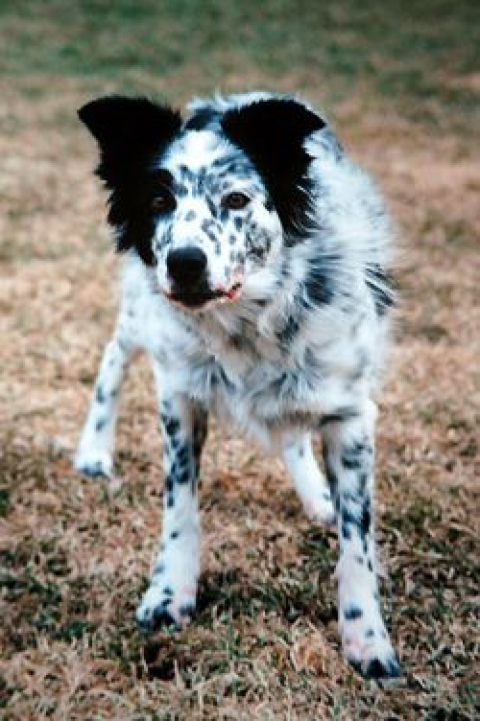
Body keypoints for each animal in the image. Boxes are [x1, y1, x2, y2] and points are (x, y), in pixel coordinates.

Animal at [75, 90, 400, 676]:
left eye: (236, 199)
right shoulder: (179, 396)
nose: (184, 263)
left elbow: (356, 541)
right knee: (114, 358)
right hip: (141, 314)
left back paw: (317, 495)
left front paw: (366, 638)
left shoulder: (351, 416)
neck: (247, 319)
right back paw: (93, 450)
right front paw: (169, 595)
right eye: (158, 199)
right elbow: (179, 508)